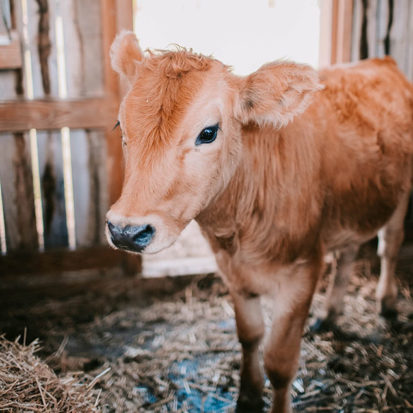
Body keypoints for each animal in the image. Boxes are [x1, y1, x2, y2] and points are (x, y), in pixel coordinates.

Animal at [105, 30, 412, 410]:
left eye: (208, 132)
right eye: (120, 125)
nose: (126, 230)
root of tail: (381, 61)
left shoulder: (303, 270)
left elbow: (279, 363)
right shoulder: (232, 272)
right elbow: (249, 337)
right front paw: (248, 396)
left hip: (402, 193)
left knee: (390, 246)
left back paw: (387, 305)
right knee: (348, 253)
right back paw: (330, 315)